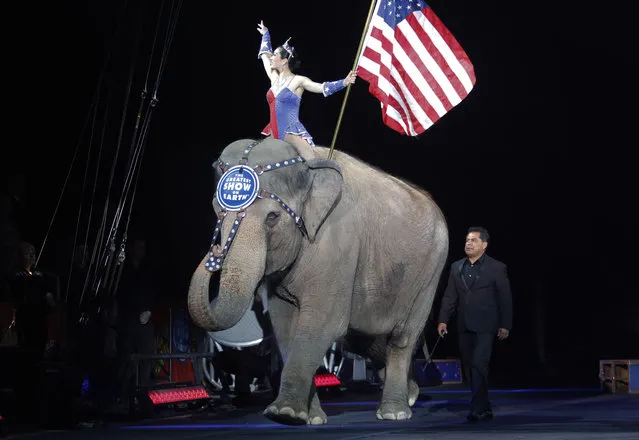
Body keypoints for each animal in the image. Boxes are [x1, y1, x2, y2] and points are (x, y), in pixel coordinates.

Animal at [189, 138, 450, 426]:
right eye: (217, 211)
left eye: (272, 217)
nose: (213, 253)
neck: (306, 162)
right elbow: (285, 326)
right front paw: (309, 417)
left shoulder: (337, 242)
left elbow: (322, 323)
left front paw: (285, 414)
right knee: (361, 338)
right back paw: (411, 393)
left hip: (430, 271)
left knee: (402, 337)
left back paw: (395, 412)